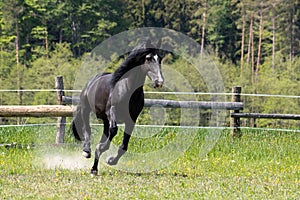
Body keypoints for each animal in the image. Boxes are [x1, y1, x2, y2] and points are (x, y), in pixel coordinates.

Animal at [71, 40, 164, 175]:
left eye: (160, 58)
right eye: (149, 58)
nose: (159, 82)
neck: (127, 88)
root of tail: (92, 81)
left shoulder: (132, 119)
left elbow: (124, 145)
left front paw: (111, 160)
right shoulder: (112, 111)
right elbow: (113, 131)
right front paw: (102, 150)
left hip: (105, 120)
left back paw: (94, 169)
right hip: (85, 109)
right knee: (87, 129)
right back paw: (87, 151)